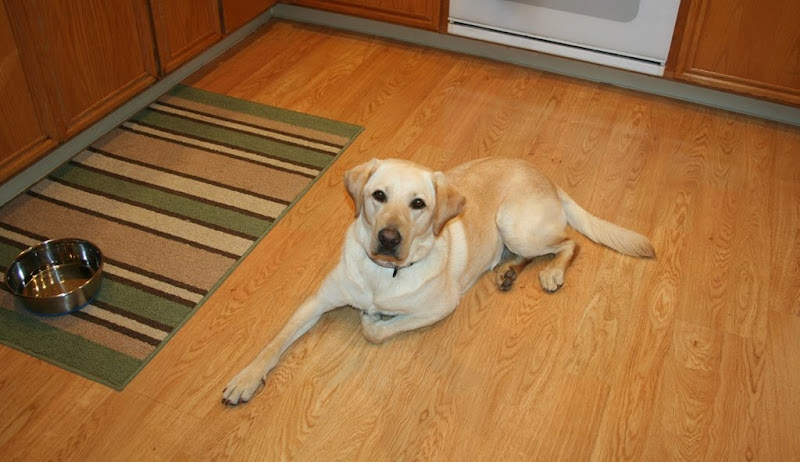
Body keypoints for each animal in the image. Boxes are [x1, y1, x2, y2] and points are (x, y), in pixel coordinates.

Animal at [222, 157, 652, 402]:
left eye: (418, 204)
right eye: (378, 195)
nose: (389, 238)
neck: (384, 272)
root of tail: (546, 177)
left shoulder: (440, 307)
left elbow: (375, 330)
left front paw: (372, 318)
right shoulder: (316, 301)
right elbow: (274, 341)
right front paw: (245, 379)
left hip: (514, 225)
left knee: (570, 243)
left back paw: (551, 272)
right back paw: (508, 272)